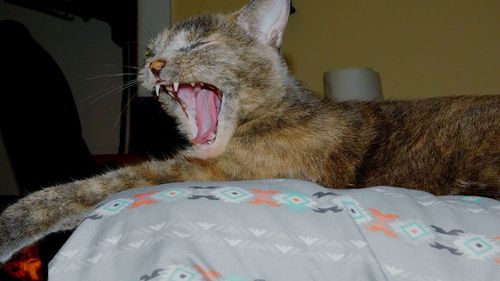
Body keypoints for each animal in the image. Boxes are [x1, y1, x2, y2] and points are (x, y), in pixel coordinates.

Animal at [0, 0, 498, 262]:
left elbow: (94, 186)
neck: (274, 110)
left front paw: (10, 225)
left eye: (198, 44)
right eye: (148, 50)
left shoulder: (206, 172)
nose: (154, 65)